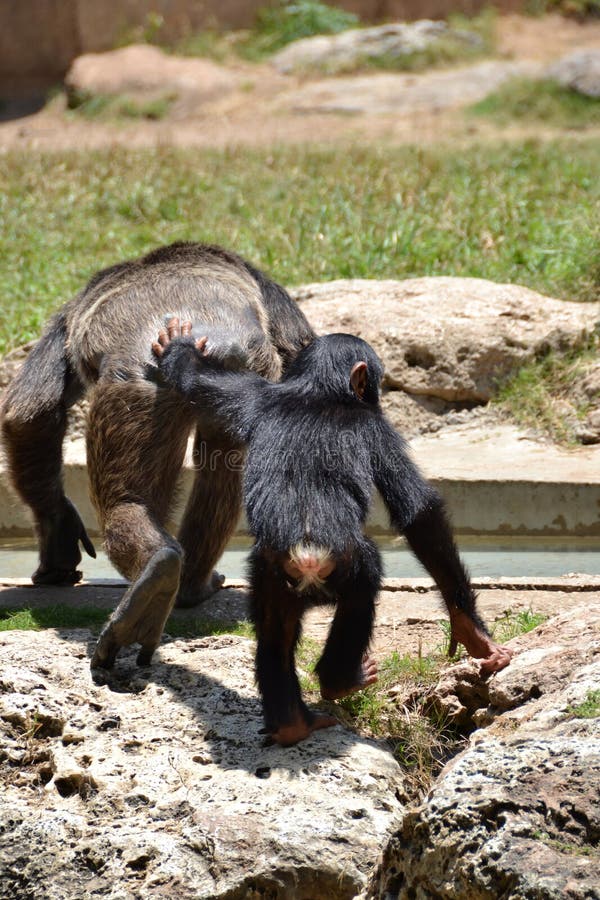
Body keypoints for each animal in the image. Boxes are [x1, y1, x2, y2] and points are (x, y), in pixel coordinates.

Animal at [0, 241, 316, 668]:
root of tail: (205, 342)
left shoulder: (69, 313)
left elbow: (28, 412)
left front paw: (59, 540)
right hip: (242, 379)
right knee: (220, 480)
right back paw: (177, 583)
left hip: (135, 389)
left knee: (126, 503)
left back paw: (163, 583)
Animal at [151, 322, 510, 744]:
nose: (377, 394)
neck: (318, 391)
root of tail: (305, 553)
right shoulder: (378, 429)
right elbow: (418, 511)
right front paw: (472, 632)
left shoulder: (253, 395)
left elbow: (197, 379)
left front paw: (177, 344)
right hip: (346, 565)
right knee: (361, 594)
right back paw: (341, 681)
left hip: (268, 574)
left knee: (274, 632)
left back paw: (291, 723)